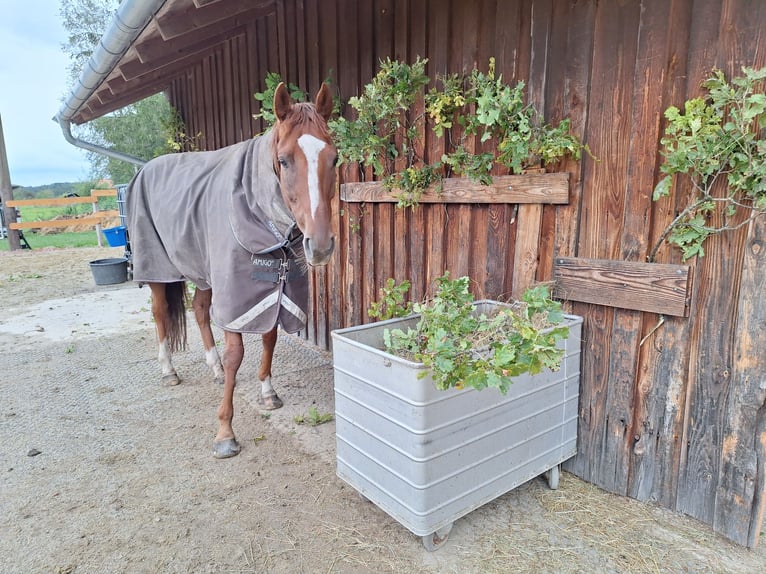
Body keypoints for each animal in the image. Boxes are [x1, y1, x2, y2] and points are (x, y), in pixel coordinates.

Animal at [127, 85, 338, 462]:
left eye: (334, 158)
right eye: (284, 160)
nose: (321, 245)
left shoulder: (275, 294)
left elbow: (269, 338)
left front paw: (267, 392)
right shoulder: (236, 299)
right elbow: (236, 354)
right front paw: (225, 431)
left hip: (205, 273)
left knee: (198, 310)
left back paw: (213, 368)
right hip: (160, 272)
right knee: (160, 313)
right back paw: (168, 370)